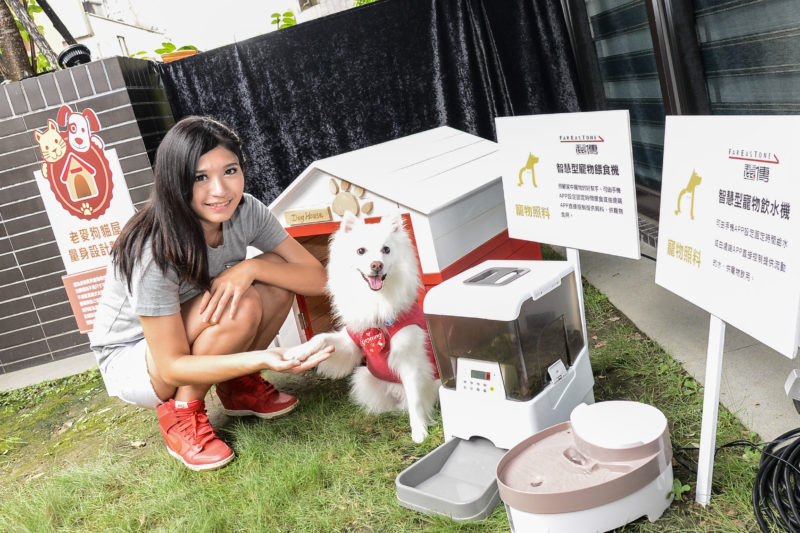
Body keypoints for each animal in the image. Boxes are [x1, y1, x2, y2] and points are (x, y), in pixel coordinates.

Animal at [286, 211, 440, 440]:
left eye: (386, 249)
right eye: (360, 251)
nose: (376, 265)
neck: (376, 298)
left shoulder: (409, 359)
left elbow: (415, 399)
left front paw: (419, 430)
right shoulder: (351, 342)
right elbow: (320, 338)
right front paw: (297, 352)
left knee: (410, 401)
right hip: (363, 378)